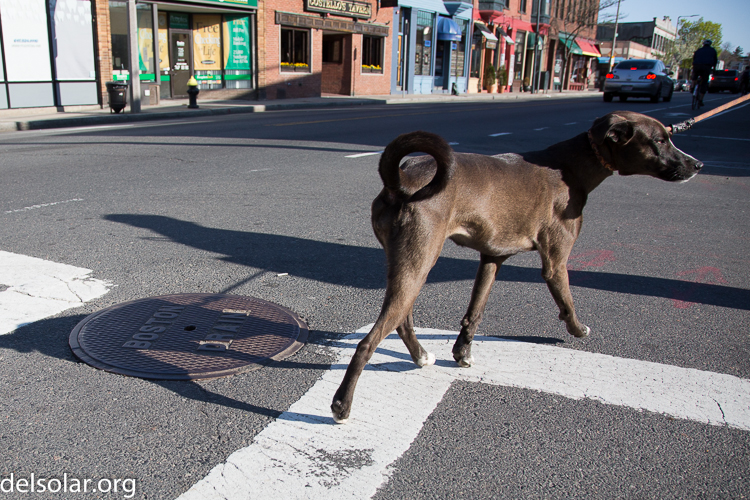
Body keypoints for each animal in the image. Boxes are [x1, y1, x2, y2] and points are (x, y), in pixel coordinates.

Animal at [332, 109, 708, 422]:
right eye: (660, 140)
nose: (698, 165)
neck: (573, 167)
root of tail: (400, 181)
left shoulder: (492, 258)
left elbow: (475, 312)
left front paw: (462, 352)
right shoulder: (556, 261)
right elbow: (567, 301)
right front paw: (577, 329)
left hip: (408, 263)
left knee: (402, 320)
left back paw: (422, 356)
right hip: (418, 263)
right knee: (368, 342)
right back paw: (341, 405)